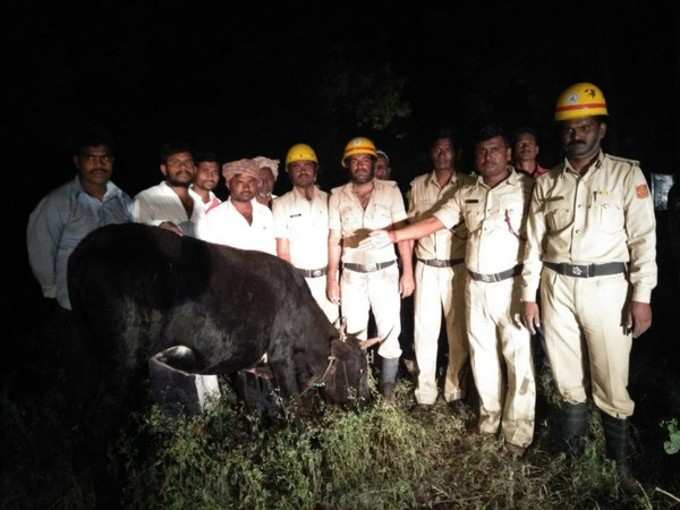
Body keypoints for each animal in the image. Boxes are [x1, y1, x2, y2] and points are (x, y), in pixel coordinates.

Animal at [68, 223, 374, 506]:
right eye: (359, 370)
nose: (367, 402)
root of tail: (84, 250)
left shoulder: (240, 359)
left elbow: (248, 399)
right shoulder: (281, 356)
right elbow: (294, 406)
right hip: (121, 362)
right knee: (96, 425)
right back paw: (111, 491)